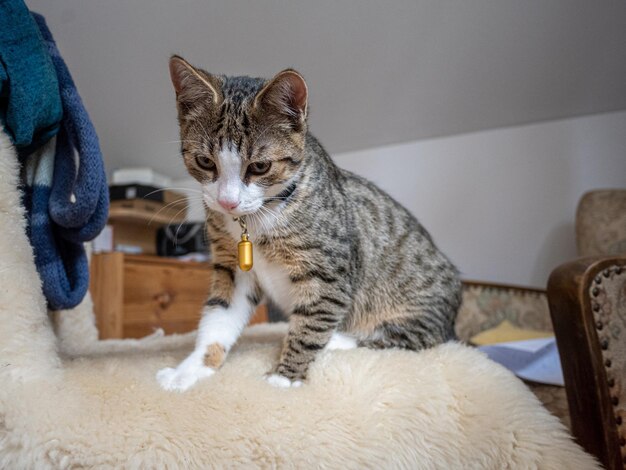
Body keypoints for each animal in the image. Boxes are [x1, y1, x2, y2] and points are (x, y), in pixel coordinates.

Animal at [156, 55, 458, 392]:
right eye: (205, 161)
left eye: (260, 166)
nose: (227, 202)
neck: (255, 221)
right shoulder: (232, 265)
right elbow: (220, 315)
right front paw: (191, 369)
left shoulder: (329, 274)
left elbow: (311, 324)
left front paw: (285, 376)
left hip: (417, 309)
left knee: (412, 339)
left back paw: (339, 340)